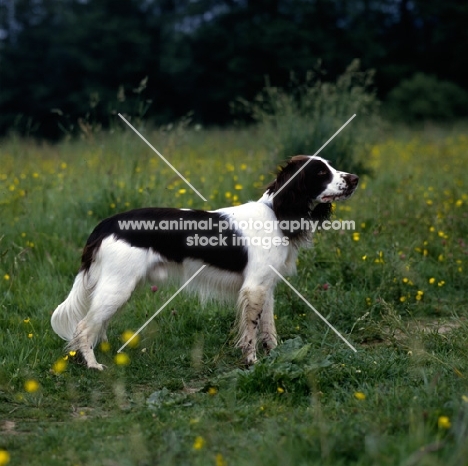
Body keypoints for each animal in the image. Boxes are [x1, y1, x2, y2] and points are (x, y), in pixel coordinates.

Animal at [51, 155, 358, 370]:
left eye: (330, 166)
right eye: (321, 172)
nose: (355, 178)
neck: (276, 213)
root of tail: (106, 224)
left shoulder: (265, 287)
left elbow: (268, 328)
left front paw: (275, 354)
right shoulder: (254, 288)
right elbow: (251, 330)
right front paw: (252, 362)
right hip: (118, 286)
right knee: (83, 327)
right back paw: (92, 365)